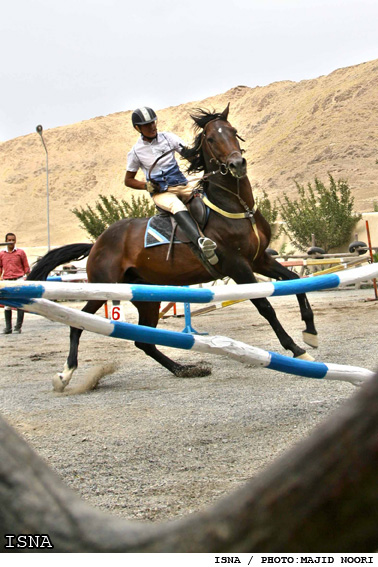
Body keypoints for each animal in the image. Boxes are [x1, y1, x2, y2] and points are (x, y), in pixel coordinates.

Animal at [29, 104, 318, 392]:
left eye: (233, 131)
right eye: (210, 139)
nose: (237, 164)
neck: (238, 207)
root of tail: (97, 242)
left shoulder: (260, 261)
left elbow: (294, 281)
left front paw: (310, 333)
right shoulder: (238, 267)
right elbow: (265, 307)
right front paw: (297, 350)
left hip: (147, 295)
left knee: (143, 341)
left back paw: (185, 368)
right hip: (103, 288)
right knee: (78, 323)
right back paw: (65, 374)